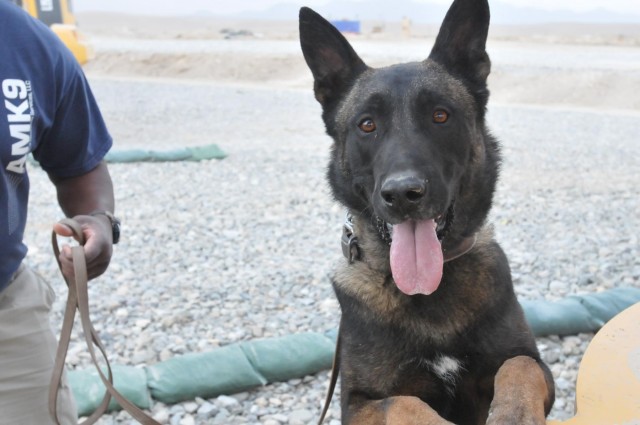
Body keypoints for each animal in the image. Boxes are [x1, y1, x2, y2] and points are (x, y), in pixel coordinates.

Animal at [300, 0, 556, 424]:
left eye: (440, 116)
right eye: (366, 125)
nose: (403, 194)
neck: (429, 292)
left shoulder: (532, 363)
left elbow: (518, 368)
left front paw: (513, 416)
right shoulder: (357, 403)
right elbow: (404, 403)